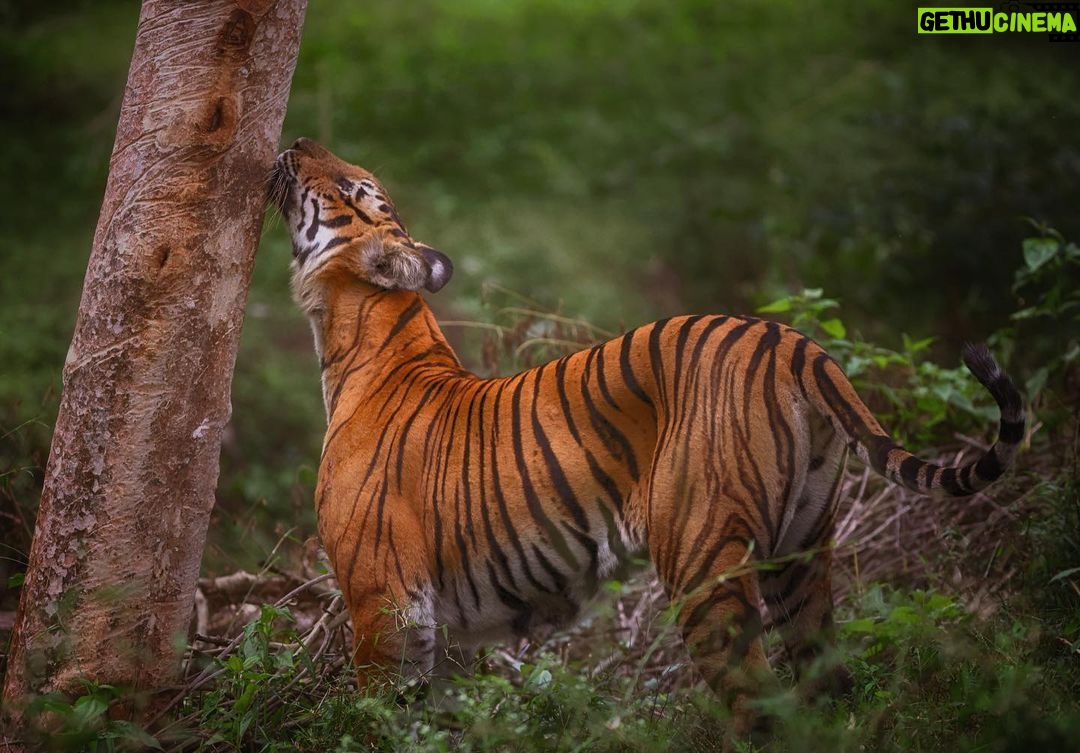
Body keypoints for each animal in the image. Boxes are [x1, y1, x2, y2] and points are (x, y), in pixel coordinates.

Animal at [267, 137, 1024, 740]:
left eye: (351, 188)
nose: (298, 139)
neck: (362, 337)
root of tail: (792, 340)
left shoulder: (383, 602)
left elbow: (378, 722)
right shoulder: (448, 630)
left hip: (701, 561)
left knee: (761, 705)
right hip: (802, 554)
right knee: (828, 688)